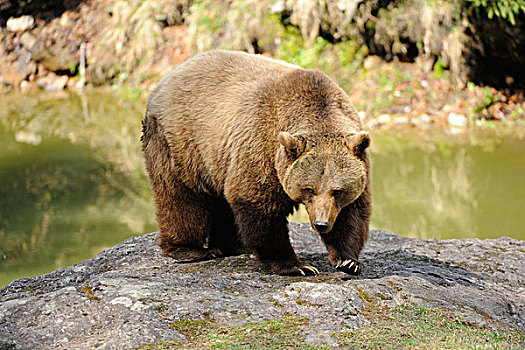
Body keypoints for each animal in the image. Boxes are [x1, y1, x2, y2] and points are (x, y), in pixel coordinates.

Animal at [141, 50, 370, 276]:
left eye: (337, 191)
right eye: (309, 189)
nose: (321, 224)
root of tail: (166, 78)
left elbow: (352, 211)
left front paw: (348, 260)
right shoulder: (262, 145)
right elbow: (258, 202)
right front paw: (297, 266)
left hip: (217, 158)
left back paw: (234, 246)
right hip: (179, 142)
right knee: (181, 197)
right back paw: (191, 249)